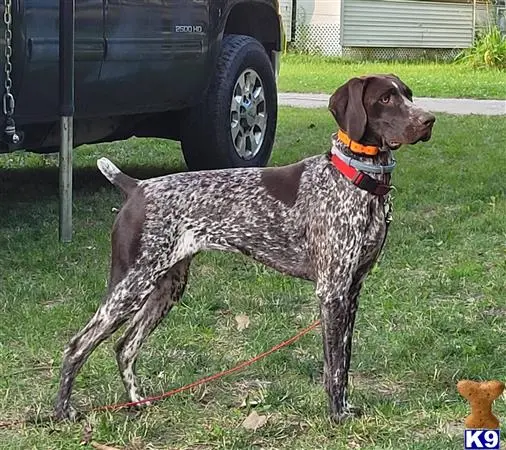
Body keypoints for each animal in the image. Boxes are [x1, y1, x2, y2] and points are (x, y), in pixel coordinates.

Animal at [54, 74, 434, 422]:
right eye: (385, 98)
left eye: (408, 95)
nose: (428, 120)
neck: (357, 181)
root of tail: (136, 187)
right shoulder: (332, 291)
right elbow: (335, 366)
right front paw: (337, 416)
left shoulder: (352, 289)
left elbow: (346, 357)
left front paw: (346, 408)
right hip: (131, 285)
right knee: (77, 345)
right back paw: (62, 413)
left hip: (166, 287)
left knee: (125, 346)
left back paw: (136, 402)